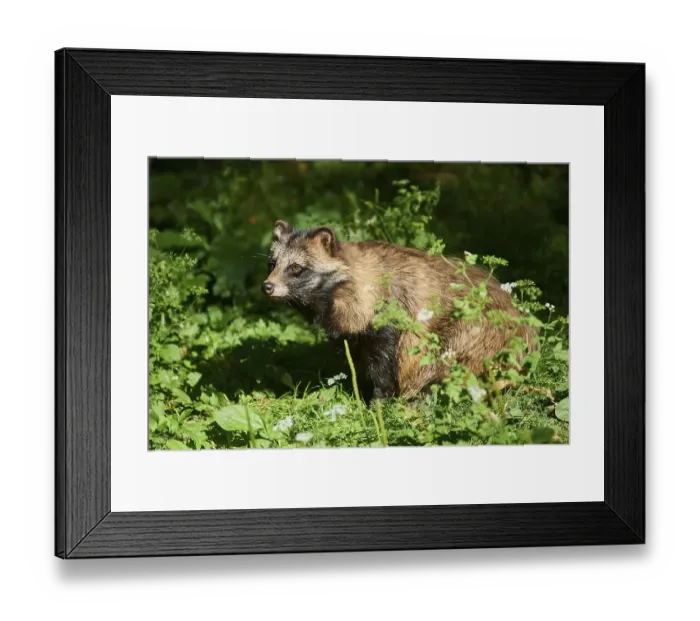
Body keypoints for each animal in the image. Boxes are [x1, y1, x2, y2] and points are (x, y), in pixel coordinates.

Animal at [262, 220, 536, 400]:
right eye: (272, 264)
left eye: (296, 268)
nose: (267, 286)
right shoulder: (354, 332)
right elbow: (358, 358)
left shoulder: (390, 315)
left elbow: (386, 364)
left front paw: (378, 402)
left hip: (479, 333)